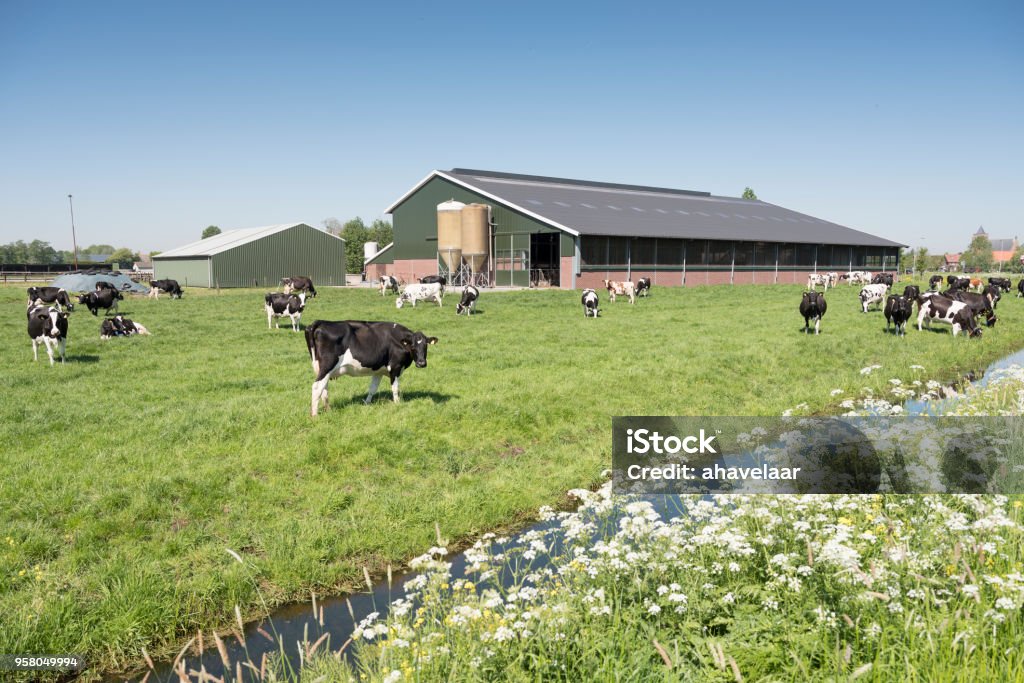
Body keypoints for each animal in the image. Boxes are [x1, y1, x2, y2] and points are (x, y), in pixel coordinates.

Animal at [301, 317, 434, 413]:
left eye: (425, 346)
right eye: (413, 346)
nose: (422, 363)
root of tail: (321, 322)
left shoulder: (378, 370)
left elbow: (372, 388)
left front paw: (367, 403)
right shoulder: (395, 367)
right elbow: (395, 388)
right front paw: (397, 404)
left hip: (322, 369)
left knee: (324, 388)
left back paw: (328, 409)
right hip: (327, 366)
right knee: (317, 387)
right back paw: (314, 415)